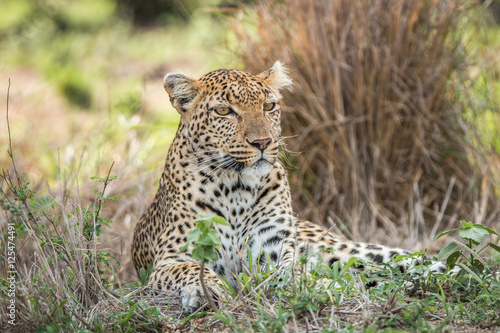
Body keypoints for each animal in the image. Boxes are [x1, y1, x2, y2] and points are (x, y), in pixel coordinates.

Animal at [131, 61, 452, 310]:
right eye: (224, 111)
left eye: (269, 106)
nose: (263, 142)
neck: (235, 188)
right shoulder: (171, 259)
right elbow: (189, 271)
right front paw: (203, 291)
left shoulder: (272, 249)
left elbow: (293, 271)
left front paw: (316, 286)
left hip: (343, 250)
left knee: (411, 260)